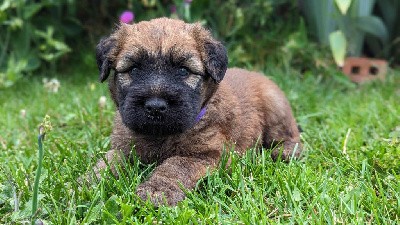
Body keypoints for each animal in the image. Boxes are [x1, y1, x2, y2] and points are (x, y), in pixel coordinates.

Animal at [93, 17, 300, 206]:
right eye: (134, 69)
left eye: (183, 71)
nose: (155, 106)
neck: (159, 135)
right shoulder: (123, 147)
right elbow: (108, 161)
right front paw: (89, 182)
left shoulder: (208, 154)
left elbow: (176, 166)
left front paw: (157, 190)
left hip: (275, 108)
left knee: (291, 136)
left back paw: (284, 152)